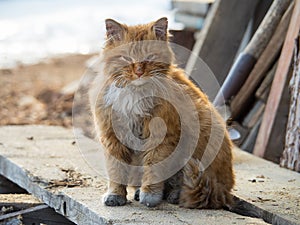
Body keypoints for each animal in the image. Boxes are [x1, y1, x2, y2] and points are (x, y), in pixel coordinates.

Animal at [89, 17, 234, 209]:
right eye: (126, 57)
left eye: (150, 57)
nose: (139, 72)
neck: (135, 94)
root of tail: (224, 190)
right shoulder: (113, 137)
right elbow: (116, 172)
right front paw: (115, 196)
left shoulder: (161, 138)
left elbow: (153, 170)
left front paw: (149, 196)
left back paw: (173, 195)